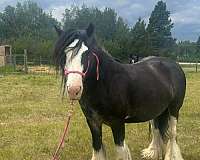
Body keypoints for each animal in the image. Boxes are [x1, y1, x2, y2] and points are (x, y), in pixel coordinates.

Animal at [53, 23, 186, 160]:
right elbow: (97, 147)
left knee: (172, 133)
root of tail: (175, 65)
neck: (106, 82)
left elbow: (121, 151)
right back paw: (153, 152)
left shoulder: (117, 123)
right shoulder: (93, 122)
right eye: (65, 54)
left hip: (174, 109)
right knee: (156, 129)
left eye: (87, 53)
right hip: (157, 109)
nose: (74, 90)